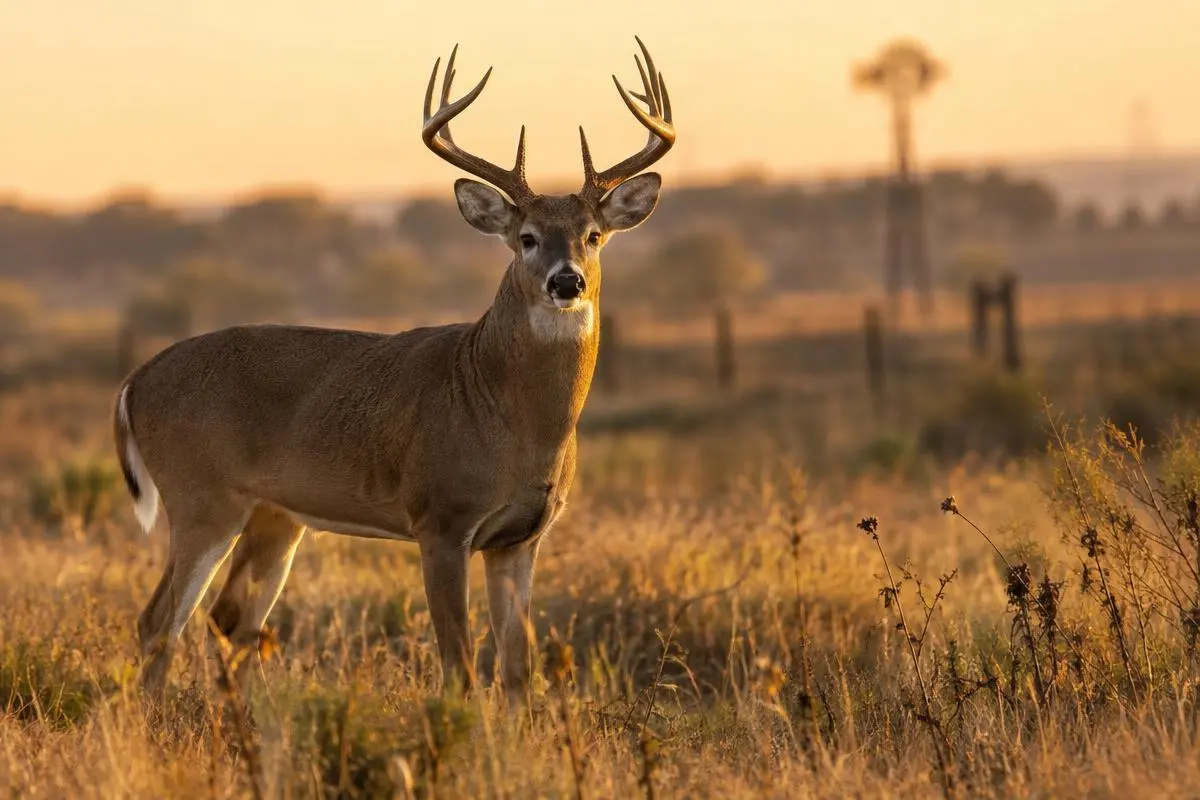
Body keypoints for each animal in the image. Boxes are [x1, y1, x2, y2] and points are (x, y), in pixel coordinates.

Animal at [114, 37, 674, 706]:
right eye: (527, 237)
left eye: (593, 235)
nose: (567, 282)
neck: (506, 416)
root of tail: (135, 381)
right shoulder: (440, 520)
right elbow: (459, 666)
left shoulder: (521, 539)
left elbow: (518, 671)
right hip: (201, 497)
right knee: (158, 621)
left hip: (276, 515)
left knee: (231, 621)